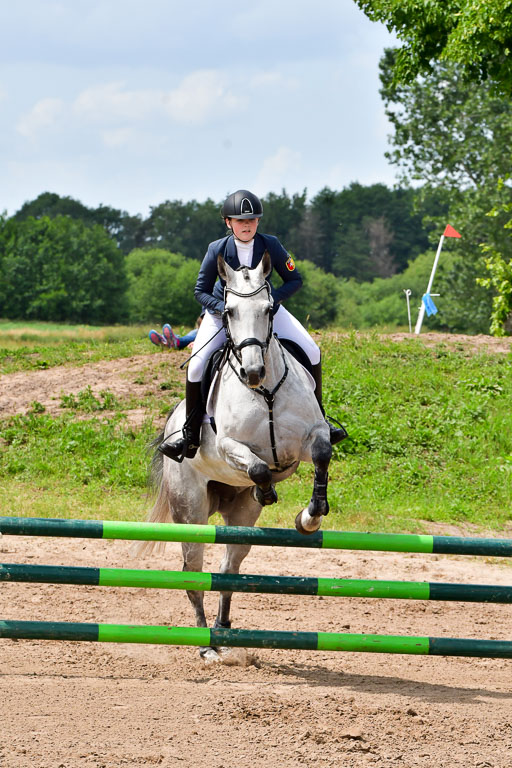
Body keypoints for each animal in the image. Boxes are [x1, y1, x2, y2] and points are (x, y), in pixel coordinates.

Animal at [140, 251, 333, 662]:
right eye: (227, 311)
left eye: (269, 309)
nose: (253, 371)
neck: (266, 391)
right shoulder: (231, 447)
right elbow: (259, 466)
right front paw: (268, 490)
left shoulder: (311, 437)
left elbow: (322, 453)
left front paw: (310, 516)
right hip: (192, 512)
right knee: (194, 572)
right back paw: (205, 645)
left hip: (239, 519)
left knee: (229, 570)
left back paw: (222, 628)